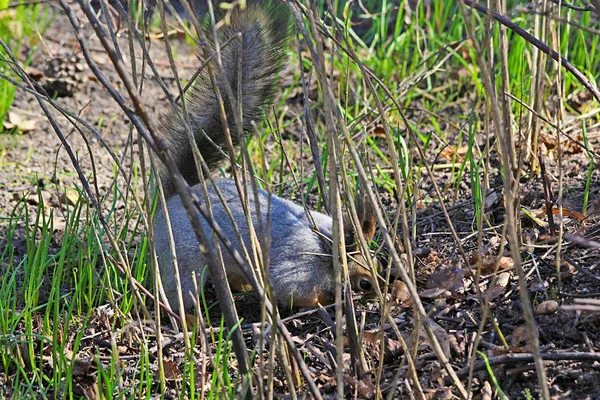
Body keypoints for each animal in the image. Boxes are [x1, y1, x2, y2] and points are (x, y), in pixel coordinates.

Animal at [155, 0, 380, 312]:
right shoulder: (299, 266)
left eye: (379, 265)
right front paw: (325, 298)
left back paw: (246, 285)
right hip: (184, 259)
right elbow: (293, 291)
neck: (326, 245)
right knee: (180, 293)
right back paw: (187, 315)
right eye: (365, 282)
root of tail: (176, 196)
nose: (381, 293)